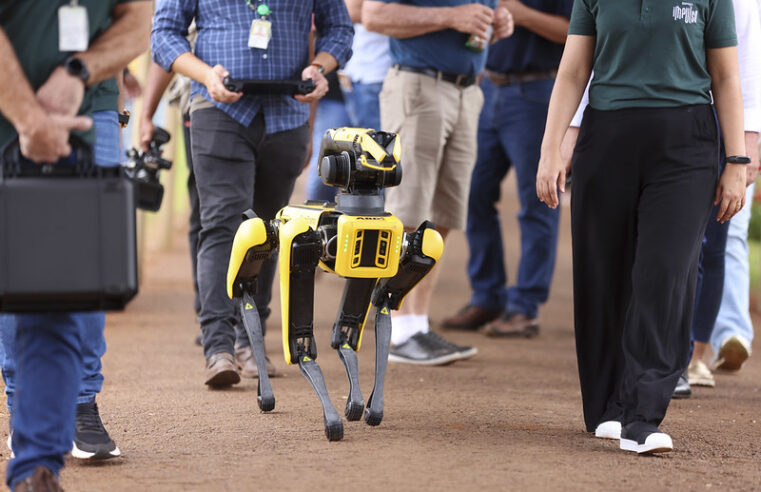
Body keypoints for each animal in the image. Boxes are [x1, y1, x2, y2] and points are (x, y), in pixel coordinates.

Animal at [226, 128, 442, 442]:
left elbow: (386, 294)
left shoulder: (396, 247)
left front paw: (371, 406)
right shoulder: (302, 239)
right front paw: (330, 417)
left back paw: (356, 398)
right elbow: (300, 342)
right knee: (252, 244)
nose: (387, 161)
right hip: (273, 230)